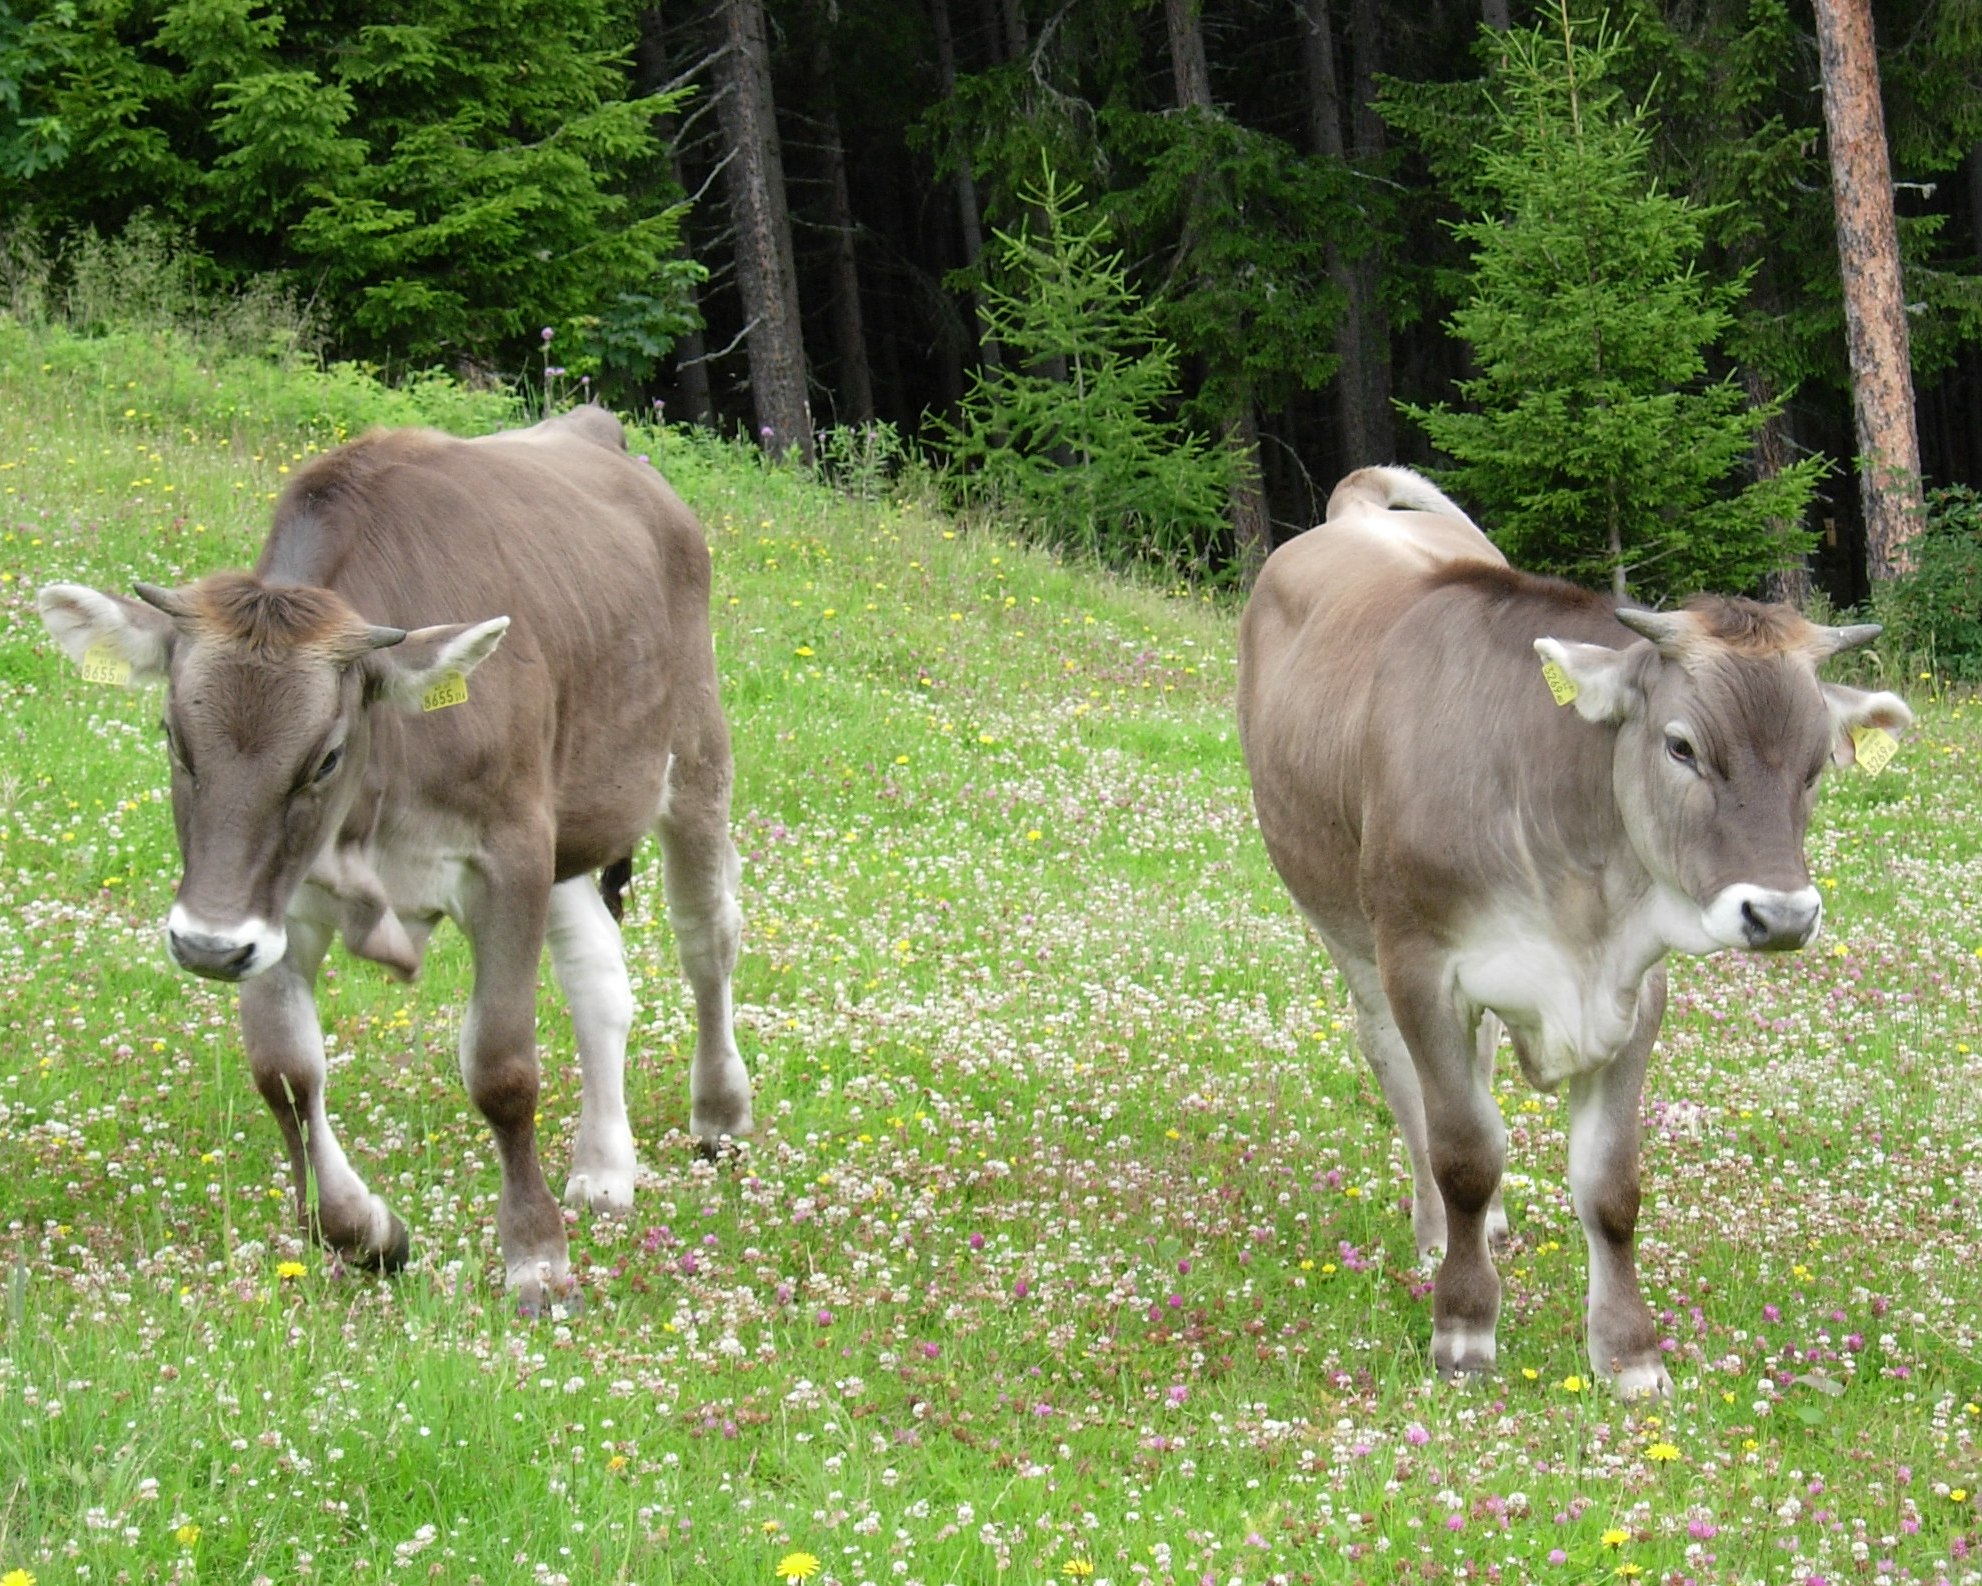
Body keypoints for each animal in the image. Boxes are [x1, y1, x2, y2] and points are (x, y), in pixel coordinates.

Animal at [38, 412, 749, 1316]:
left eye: (327, 756)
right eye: (174, 737)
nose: (204, 947)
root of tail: (595, 428)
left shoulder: (508, 858)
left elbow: (503, 1067)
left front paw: (538, 1262)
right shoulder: (278, 902)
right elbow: (285, 1070)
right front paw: (365, 1232)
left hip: (691, 758)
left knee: (706, 939)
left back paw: (719, 1115)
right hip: (566, 832)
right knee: (600, 978)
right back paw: (602, 1171)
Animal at [1244, 463, 1910, 1395]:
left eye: (1817, 767)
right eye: (1681, 746)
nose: (1781, 915)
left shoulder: (1637, 987)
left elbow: (1610, 1185)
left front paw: (1629, 1353)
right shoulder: (1421, 964)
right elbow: (1465, 1151)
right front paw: (1464, 1327)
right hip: (1343, 922)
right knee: (1397, 1070)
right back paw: (1434, 1232)